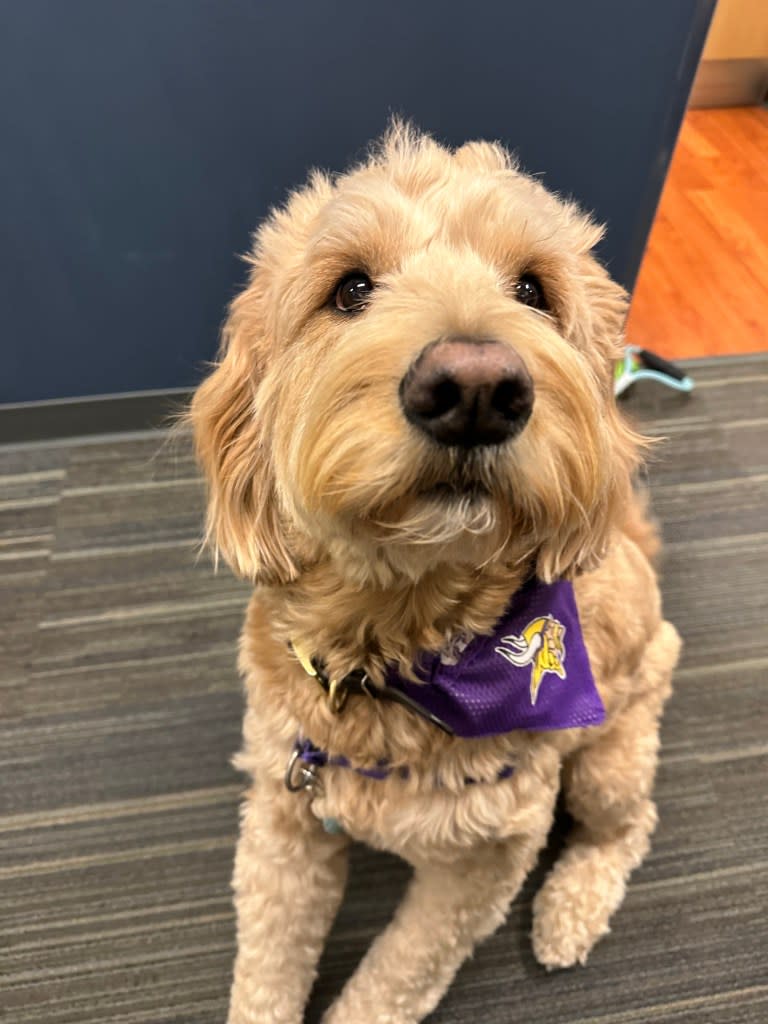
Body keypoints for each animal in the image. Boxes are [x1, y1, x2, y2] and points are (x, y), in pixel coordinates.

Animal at [191, 123, 679, 1019]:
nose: (476, 389)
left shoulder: (487, 857)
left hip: (613, 752)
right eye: (350, 289)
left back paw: (572, 909)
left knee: (627, 825)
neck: (398, 652)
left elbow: (397, 974)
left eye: (533, 289)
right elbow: (270, 959)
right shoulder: (285, 810)